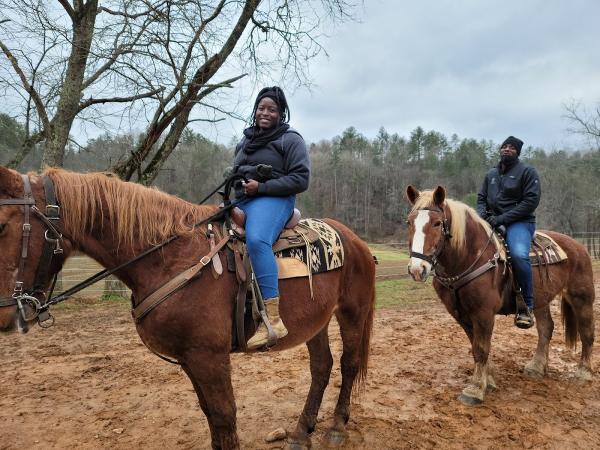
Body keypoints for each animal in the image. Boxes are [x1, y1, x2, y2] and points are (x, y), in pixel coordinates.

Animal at [0, 166, 376, 450]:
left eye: (2, 224)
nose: (5, 314)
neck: (170, 258)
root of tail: (354, 240)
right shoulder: (189, 359)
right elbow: (209, 414)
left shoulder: (208, 356)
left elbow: (224, 416)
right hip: (316, 320)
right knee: (321, 367)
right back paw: (300, 433)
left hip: (352, 312)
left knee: (348, 363)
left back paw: (337, 427)